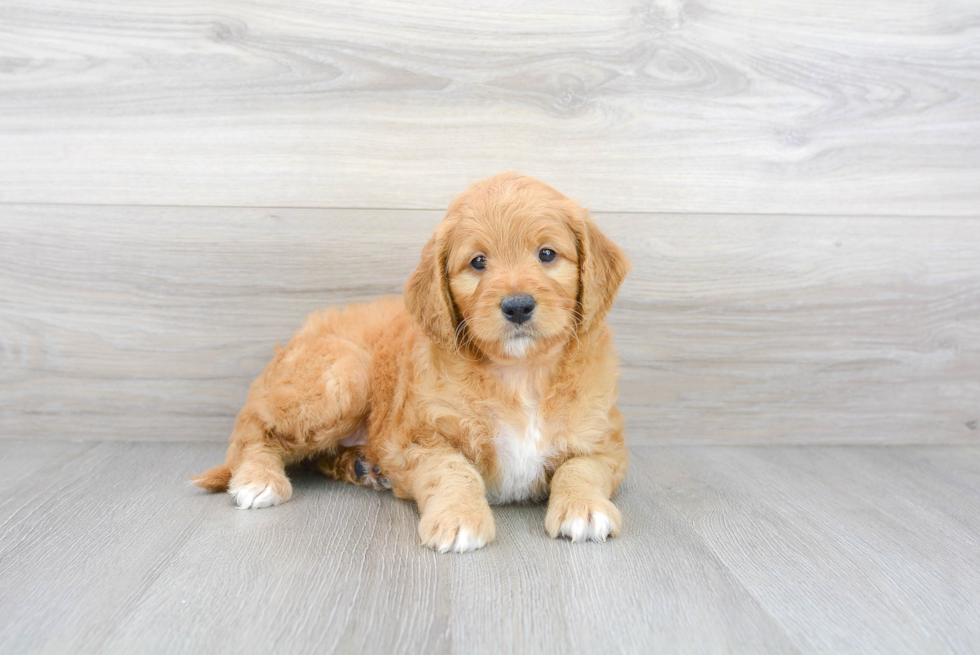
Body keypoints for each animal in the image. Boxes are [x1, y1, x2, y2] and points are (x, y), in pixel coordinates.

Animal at [195, 172, 632, 552]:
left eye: (547, 254)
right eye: (478, 262)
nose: (518, 306)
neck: (521, 374)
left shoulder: (605, 443)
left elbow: (580, 469)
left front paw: (584, 508)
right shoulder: (418, 439)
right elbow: (454, 471)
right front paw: (459, 518)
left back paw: (362, 467)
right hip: (340, 377)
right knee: (254, 429)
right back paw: (258, 478)